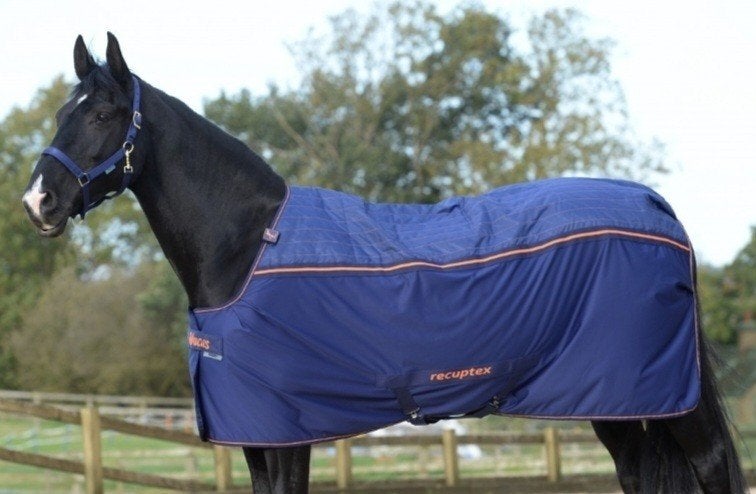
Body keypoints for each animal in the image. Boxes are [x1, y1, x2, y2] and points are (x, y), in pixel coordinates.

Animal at [21, 33, 746, 494]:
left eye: (106, 113)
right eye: (60, 111)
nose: (37, 202)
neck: (251, 247)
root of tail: (656, 206)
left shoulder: (285, 431)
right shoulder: (253, 433)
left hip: (666, 396)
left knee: (713, 466)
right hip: (615, 399)